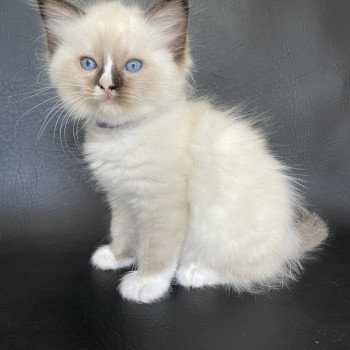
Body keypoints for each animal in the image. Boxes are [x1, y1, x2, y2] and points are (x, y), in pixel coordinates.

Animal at [37, 0, 328, 302]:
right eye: (88, 64)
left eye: (133, 66)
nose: (107, 86)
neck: (121, 135)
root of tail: (290, 239)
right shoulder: (121, 198)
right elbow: (123, 233)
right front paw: (117, 257)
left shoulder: (162, 204)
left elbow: (156, 250)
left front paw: (146, 283)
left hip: (222, 233)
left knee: (253, 272)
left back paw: (194, 272)